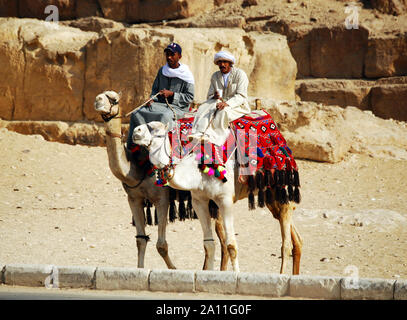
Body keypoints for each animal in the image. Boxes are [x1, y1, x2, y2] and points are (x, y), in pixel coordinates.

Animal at [93, 90, 231, 270]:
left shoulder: (162, 198)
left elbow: (161, 245)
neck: (138, 167)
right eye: (101, 94)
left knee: (222, 236)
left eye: (113, 98)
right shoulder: (133, 198)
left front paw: (174, 269)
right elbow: (140, 240)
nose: (97, 100)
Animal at [133, 119, 302, 274]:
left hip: (281, 185)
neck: (199, 172)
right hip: (272, 196)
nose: (136, 131)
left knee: (286, 241)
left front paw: (236, 277)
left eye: (157, 131)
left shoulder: (225, 200)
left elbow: (231, 245)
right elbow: (208, 244)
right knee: (293, 235)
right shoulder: (199, 201)